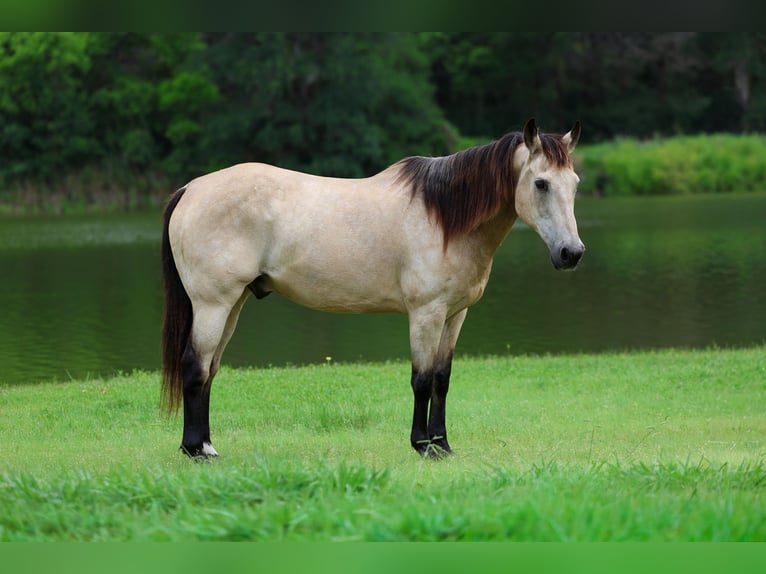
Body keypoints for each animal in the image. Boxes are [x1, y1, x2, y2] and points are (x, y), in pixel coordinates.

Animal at [161, 118, 584, 459]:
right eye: (541, 183)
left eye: (575, 184)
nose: (571, 253)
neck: (444, 217)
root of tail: (191, 189)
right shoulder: (426, 314)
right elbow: (421, 380)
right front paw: (422, 445)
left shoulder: (455, 315)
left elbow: (442, 380)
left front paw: (443, 444)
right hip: (213, 304)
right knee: (195, 366)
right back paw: (194, 450)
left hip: (233, 304)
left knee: (210, 369)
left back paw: (207, 446)